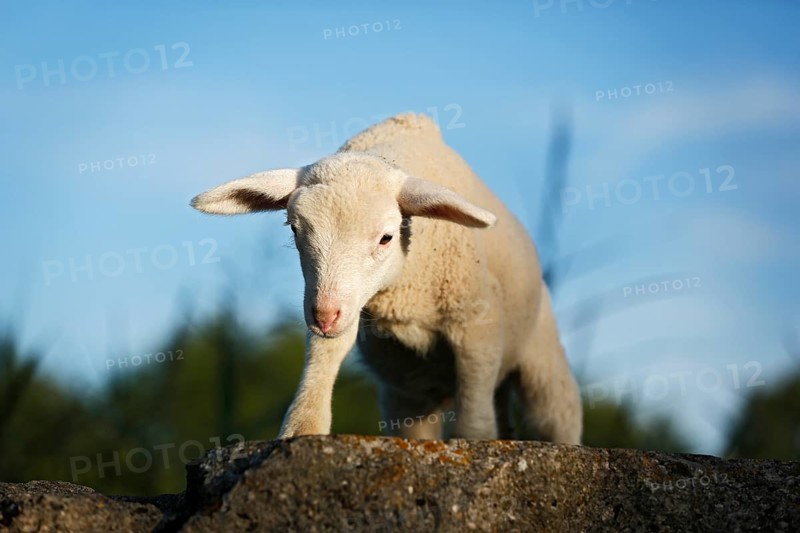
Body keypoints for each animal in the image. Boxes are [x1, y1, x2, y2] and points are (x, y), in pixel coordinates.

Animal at [191, 113, 582, 443]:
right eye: (294, 229)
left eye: (385, 238)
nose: (323, 315)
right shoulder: (342, 301)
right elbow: (324, 356)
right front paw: (302, 428)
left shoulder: (477, 325)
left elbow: (474, 421)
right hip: (410, 392)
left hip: (541, 358)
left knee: (558, 415)